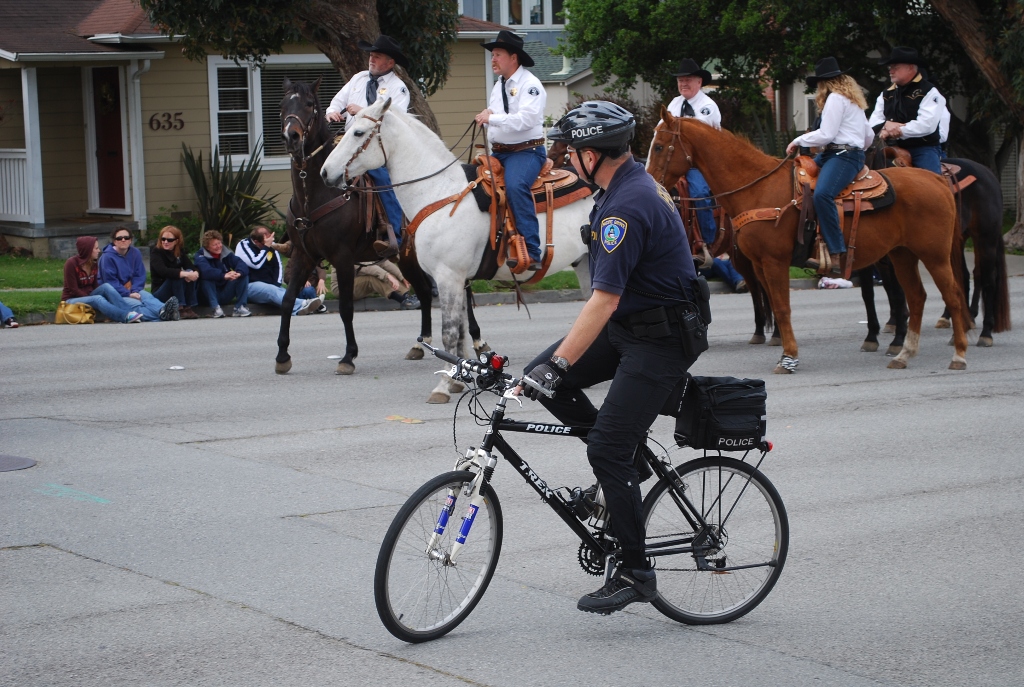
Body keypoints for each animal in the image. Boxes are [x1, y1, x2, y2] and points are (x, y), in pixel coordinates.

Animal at [276, 78, 487, 377]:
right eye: (283, 105)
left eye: (308, 104)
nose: (291, 137)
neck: (317, 195)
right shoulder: (302, 255)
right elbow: (287, 301)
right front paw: (282, 355)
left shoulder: (342, 257)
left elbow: (346, 308)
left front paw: (348, 356)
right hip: (409, 257)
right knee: (425, 292)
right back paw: (420, 345)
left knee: (463, 294)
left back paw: (479, 342)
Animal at [320, 97, 594, 403]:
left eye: (358, 133)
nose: (325, 173)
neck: (439, 192)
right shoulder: (458, 279)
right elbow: (462, 331)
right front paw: (457, 382)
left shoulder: (448, 276)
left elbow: (449, 333)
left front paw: (441, 387)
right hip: (584, 264)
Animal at [646, 110, 971, 373]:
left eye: (659, 146)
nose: (650, 183)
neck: (759, 188)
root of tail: (936, 180)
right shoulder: (760, 265)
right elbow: (775, 306)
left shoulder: (774, 262)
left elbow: (782, 308)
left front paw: (788, 358)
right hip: (903, 255)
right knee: (916, 297)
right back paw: (904, 354)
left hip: (934, 255)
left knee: (953, 295)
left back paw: (959, 354)